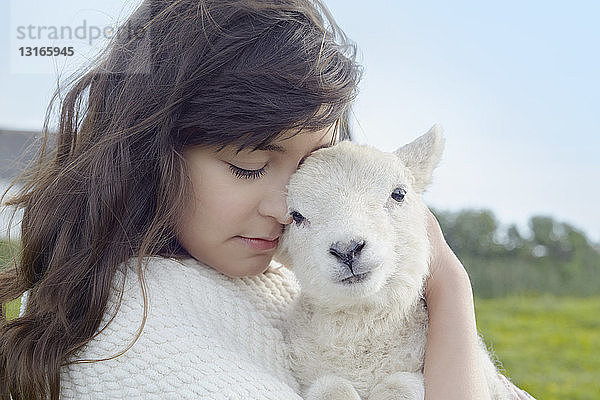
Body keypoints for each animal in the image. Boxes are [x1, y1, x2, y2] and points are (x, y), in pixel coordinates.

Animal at [274, 126, 512, 400]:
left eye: (399, 194)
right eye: (296, 216)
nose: (347, 250)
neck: (363, 326)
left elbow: (399, 384)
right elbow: (331, 387)